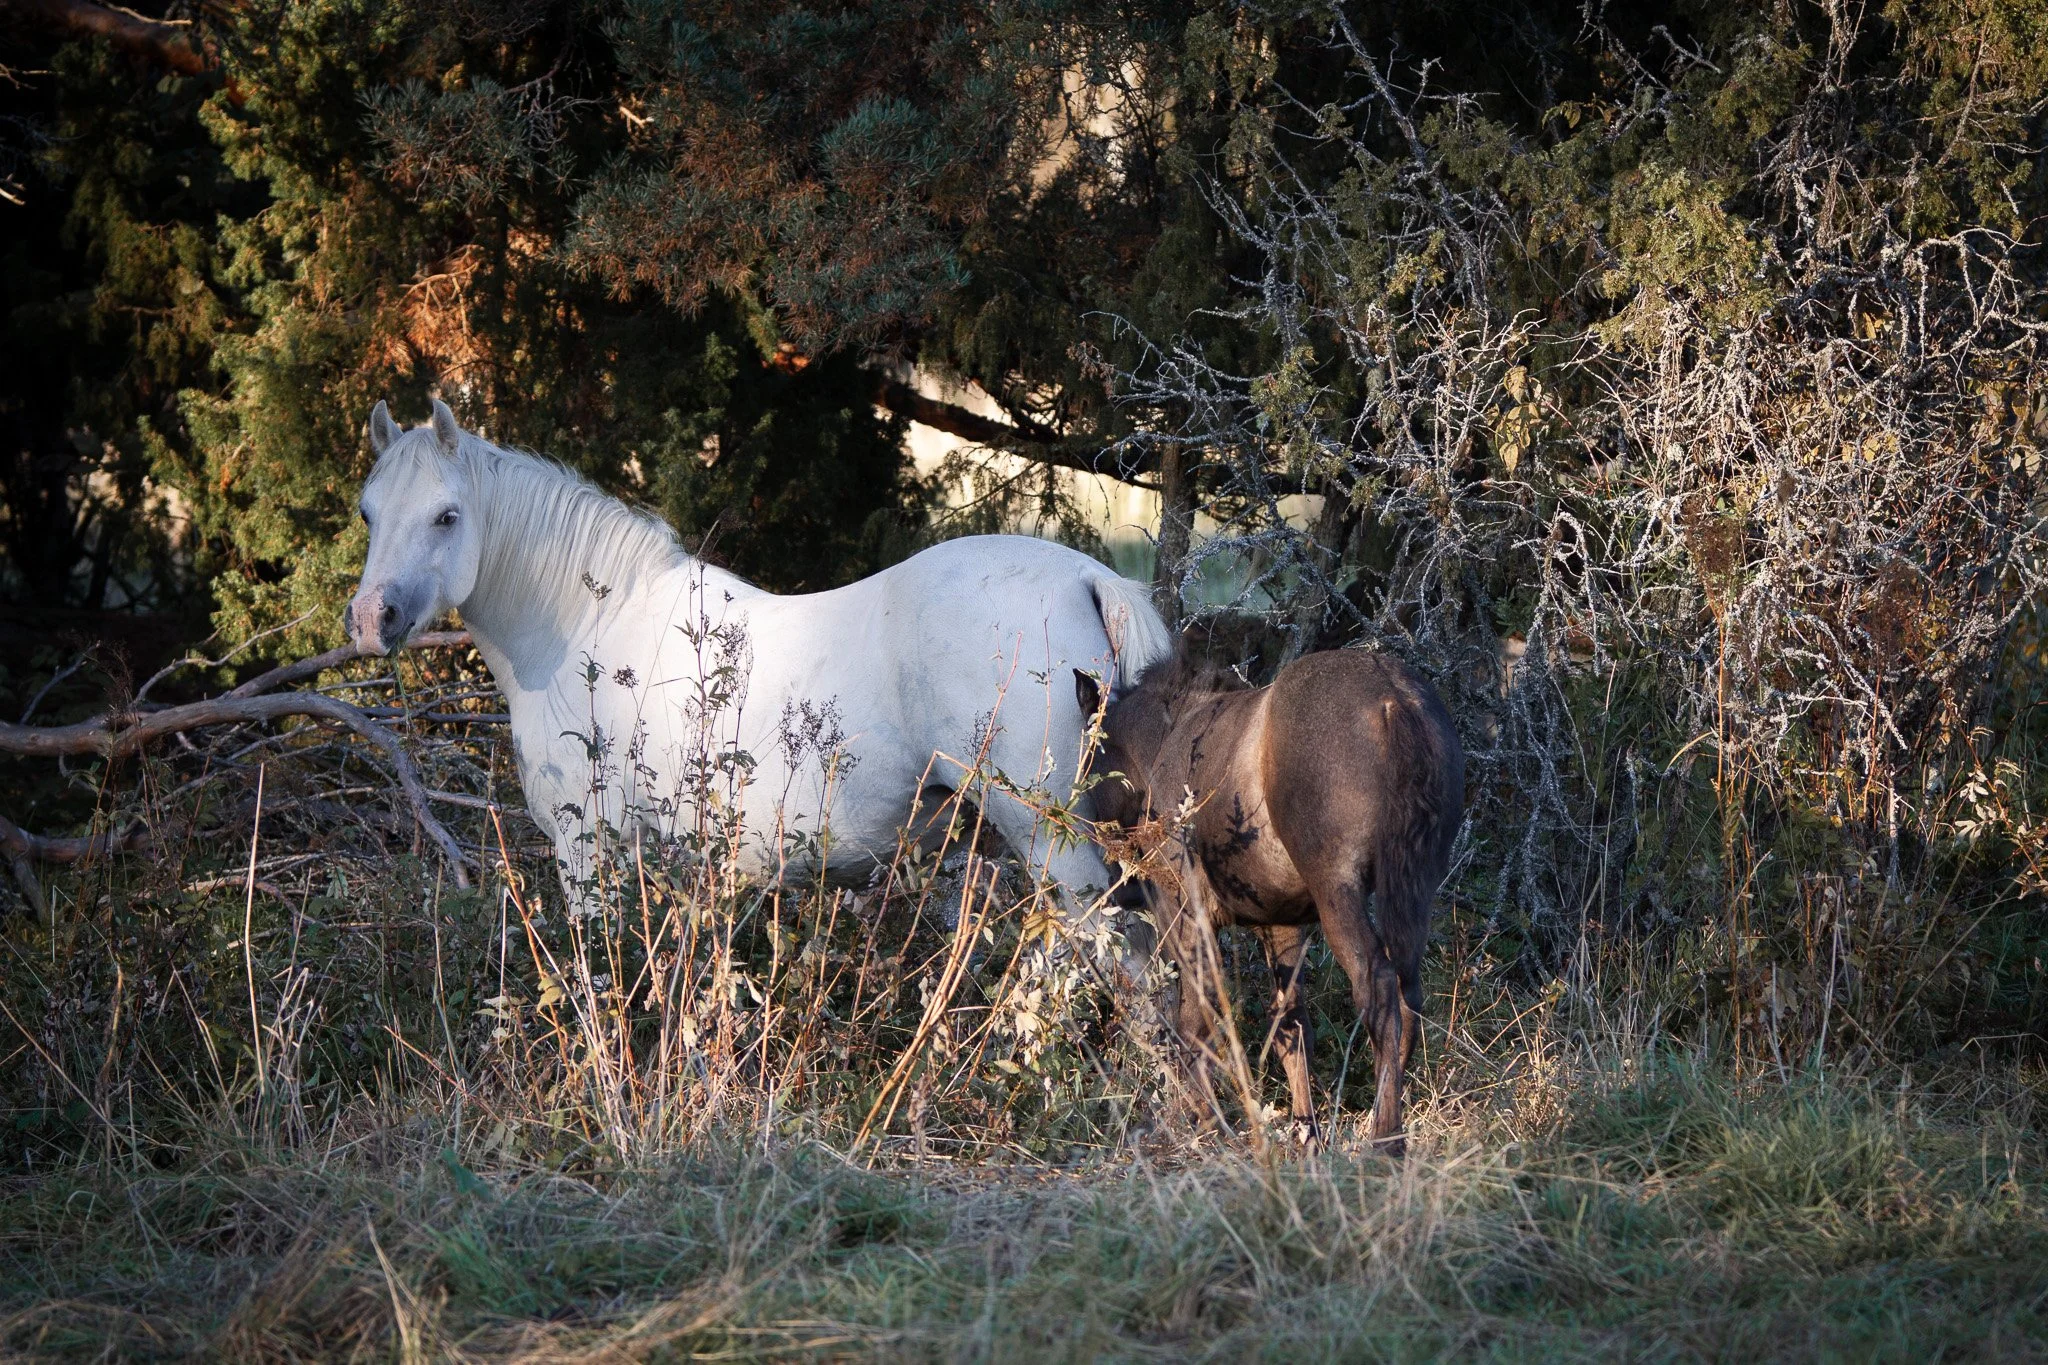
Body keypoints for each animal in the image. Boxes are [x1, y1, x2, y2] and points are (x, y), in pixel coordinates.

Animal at [346, 398, 1171, 919]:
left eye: (447, 516)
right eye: (368, 512)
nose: (370, 619)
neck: (587, 626)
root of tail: (1088, 577)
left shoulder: (589, 849)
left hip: (1054, 842)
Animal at [1074, 646, 1463, 1153]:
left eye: (1089, 761)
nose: (1121, 885)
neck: (1162, 744)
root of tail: (1396, 703)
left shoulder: (1188, 914)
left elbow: (1195, 1025)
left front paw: (1201, 1123)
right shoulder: (1283, 925)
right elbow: (1292, 1030)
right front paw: (1305, 1133)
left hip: (1338, 888)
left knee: (1377, 987)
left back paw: (1384, 1139)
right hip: (1413, 888)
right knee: (1408, 989)